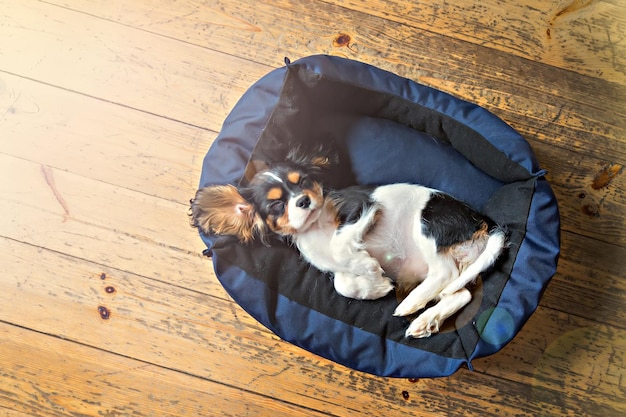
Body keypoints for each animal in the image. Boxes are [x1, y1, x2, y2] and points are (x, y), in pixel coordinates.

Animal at [188, 150, 504, 338]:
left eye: (304, 181)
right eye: (276, 204)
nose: (303, 201)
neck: (316, 227)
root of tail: (483, 222)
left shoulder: (360, 208)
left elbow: (341, 245)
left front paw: (368, 268)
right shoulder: (331, 266)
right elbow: (343, 283)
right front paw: (375, 284)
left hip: (427, 226)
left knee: (445, 274)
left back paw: (410, 303)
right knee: (460, 294)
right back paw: (426, 318)